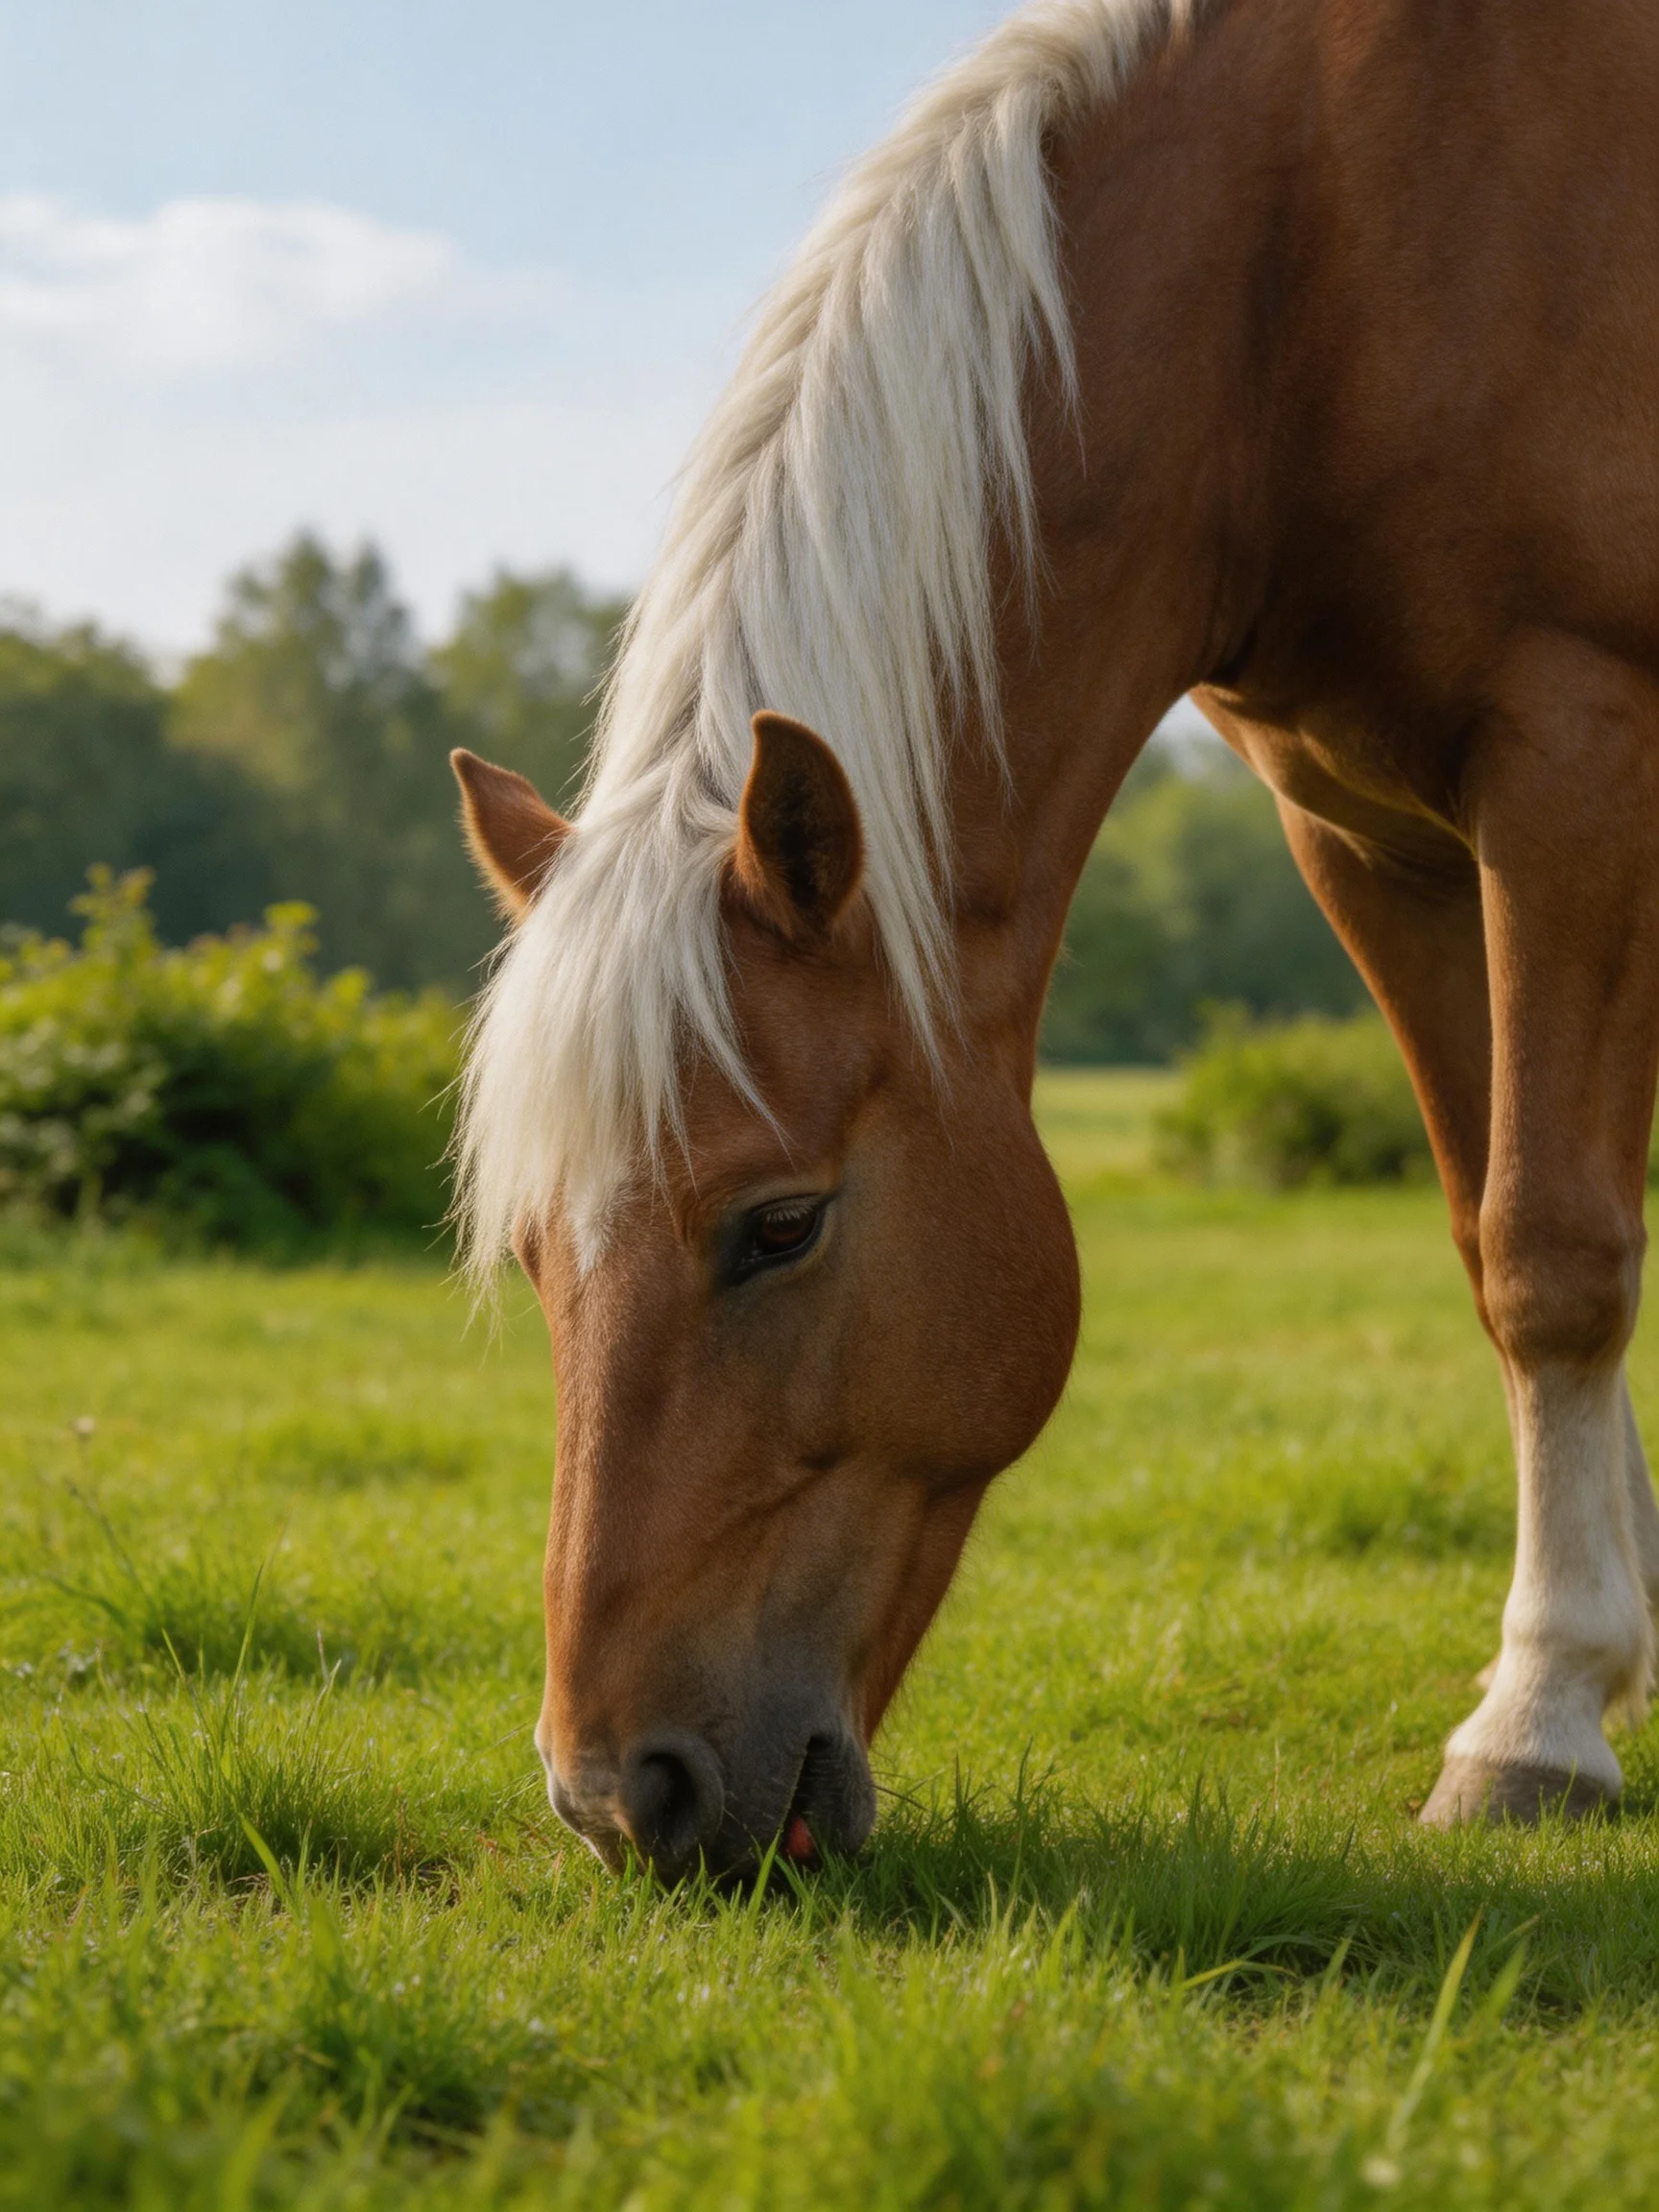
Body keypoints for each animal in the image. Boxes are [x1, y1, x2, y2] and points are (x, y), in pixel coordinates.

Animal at [449, 0, 1659, 1875]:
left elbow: (1556, 1255)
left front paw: (1535, 1719)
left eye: (780, 1226)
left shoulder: (1573, 759)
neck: (1320, 257)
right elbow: (1490, 1233)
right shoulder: (1367, 835)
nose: (616, 1796)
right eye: (532, 1253)